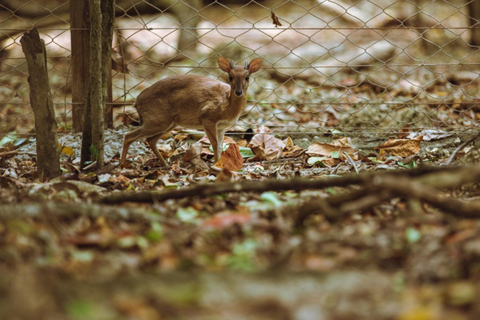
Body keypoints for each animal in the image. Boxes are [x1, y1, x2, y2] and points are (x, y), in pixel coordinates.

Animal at [120, 57, 262, 166]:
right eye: (230, 76)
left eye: (247, 77)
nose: (238, 92)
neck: (226, 106)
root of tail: (137, 102)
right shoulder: (207, 118)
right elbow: (215, 145)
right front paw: (216, 165)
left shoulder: (222, 127)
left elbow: (221, 146)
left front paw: (219, 164)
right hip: (157, 121)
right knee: (129, 136)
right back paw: (122, 164)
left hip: (168, 123)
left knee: (150, 140)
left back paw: (166, 165)